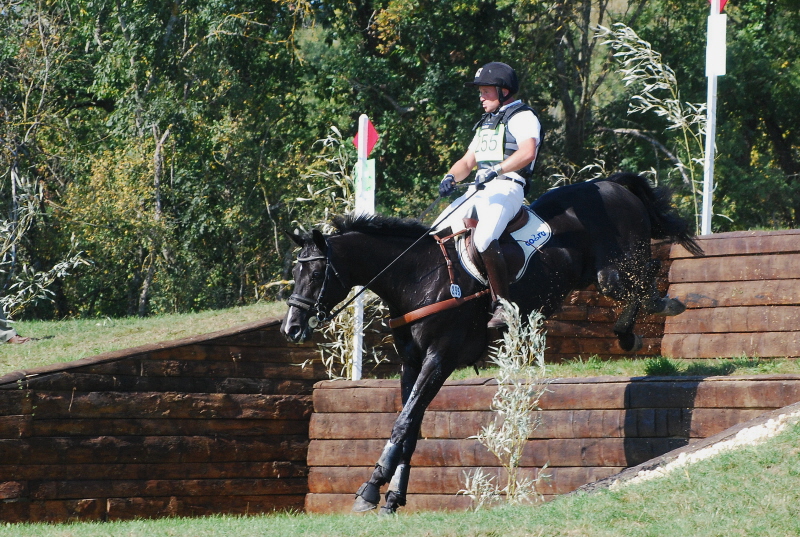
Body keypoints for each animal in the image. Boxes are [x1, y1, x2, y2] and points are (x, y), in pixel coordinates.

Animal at [280, 174, 700, 512]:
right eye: (295, 271)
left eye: (315, 273)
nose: (291, 328)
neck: (418, 276)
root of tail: (611, 184)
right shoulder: (412, 362)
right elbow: (410, 425)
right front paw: (392, 496)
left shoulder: (440, 357)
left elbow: (403, 424)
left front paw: (371, 487)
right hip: (595, 272)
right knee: (639, 284)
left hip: (615, 269)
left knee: (645, 280)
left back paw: (649, 316)